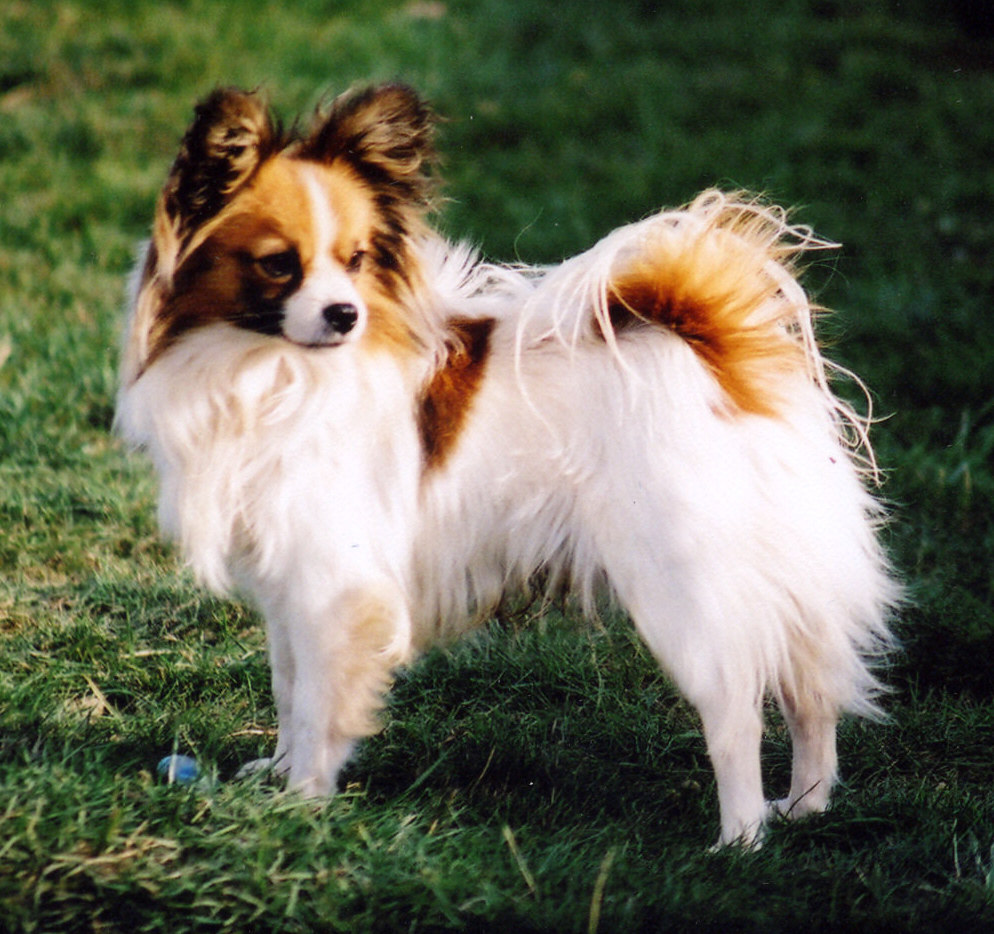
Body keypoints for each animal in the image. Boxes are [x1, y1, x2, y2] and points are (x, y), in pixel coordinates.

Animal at [118, 84, 900, 848]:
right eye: (280, 263)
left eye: (358, 260)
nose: (345, 315)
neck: (263, 369)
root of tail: (720, 352)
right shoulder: (287, 578)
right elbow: (287, 685)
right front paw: (275, 777)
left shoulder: (334, 583)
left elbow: (318, 703)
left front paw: (302, 805)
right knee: (812, 693)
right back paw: (806, 807)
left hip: (685, 589)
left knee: (736, 711)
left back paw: (739, 839)